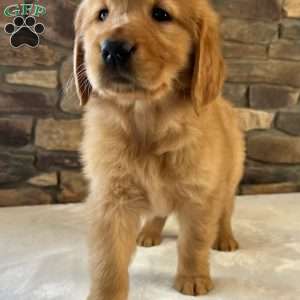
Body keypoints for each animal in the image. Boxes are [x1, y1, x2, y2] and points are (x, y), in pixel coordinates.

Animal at [74, 1, 245, 298]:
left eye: (161, 14)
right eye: (102, 14)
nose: (113, 48)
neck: (147, 121)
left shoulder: (200, 194)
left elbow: (194, 241)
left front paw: (193, 277)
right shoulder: (110, 198)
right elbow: (108, 258)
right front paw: (106, 293)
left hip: (229, 179)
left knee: (225, 211)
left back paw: (224, 238)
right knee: (159, 211)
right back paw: (149, 232)